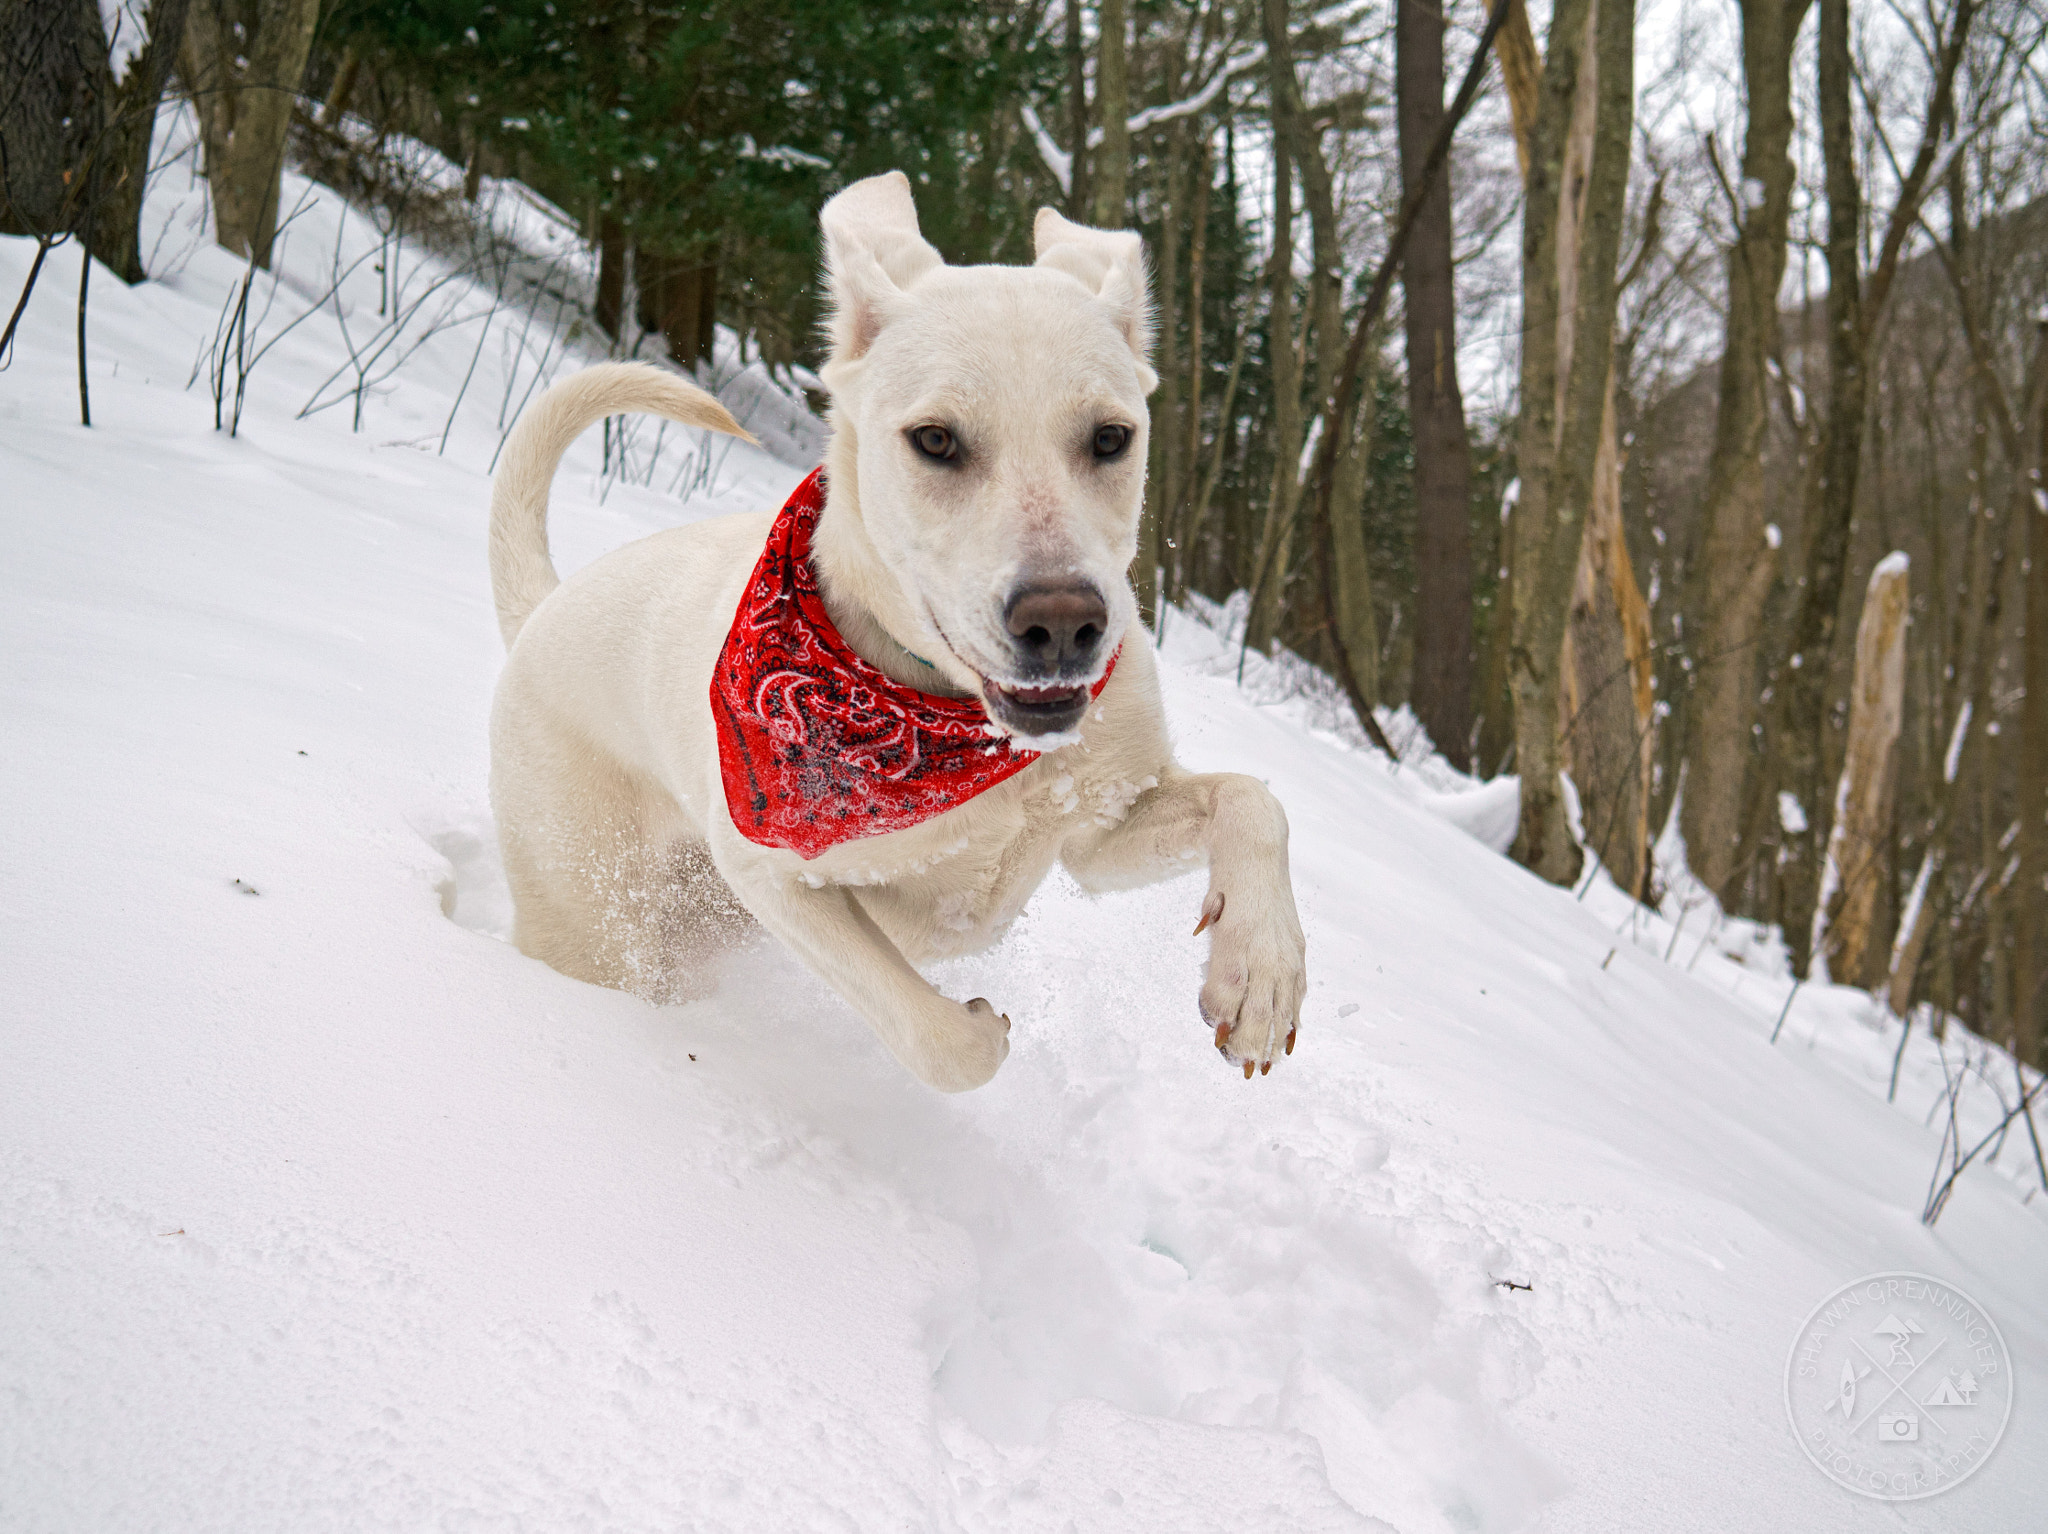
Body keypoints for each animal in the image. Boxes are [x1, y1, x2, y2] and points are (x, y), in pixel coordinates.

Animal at [487, 171, 1302, 1089]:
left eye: (1110, 437)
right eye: (935, 439)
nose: (1064, 624)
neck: (960, 723)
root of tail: (541, 610)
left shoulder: (1103, 825)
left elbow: (1253, 801)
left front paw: (1262, 976)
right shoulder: (770, 874)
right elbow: (941, 1041)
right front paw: (981, 1025)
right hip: (598, 914)